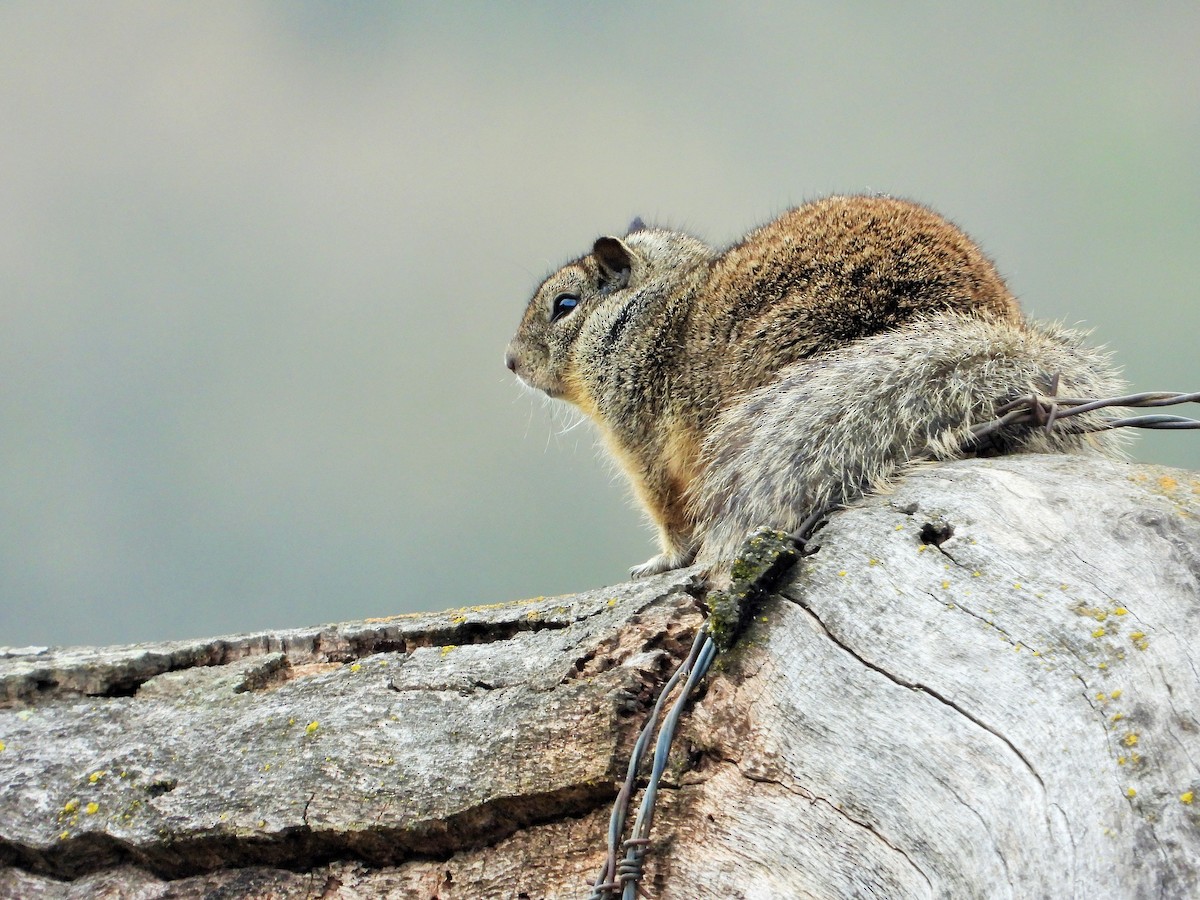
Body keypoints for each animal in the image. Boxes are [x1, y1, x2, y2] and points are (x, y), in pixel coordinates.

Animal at [505, 195, 1125, 578]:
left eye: (564, 304)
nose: (509, 362)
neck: (656, 308)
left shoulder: (645, 451)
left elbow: (672, 521)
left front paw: (659, 563)